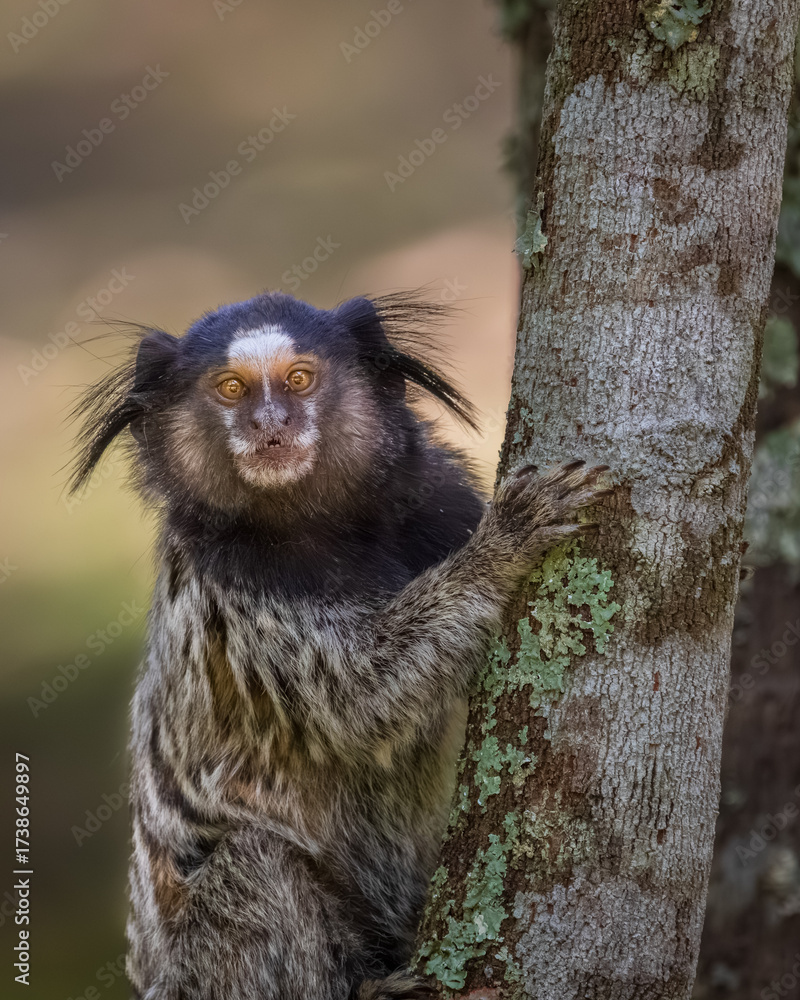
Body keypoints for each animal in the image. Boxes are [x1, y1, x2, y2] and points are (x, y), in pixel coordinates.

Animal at [70, 290, 610, 1000]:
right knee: (257, 864)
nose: (271, 423)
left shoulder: (439, 498)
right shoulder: (242, 586)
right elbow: (360, 699)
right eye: (231, 388)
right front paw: (504, 545)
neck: (333, 528)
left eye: (300, 378)